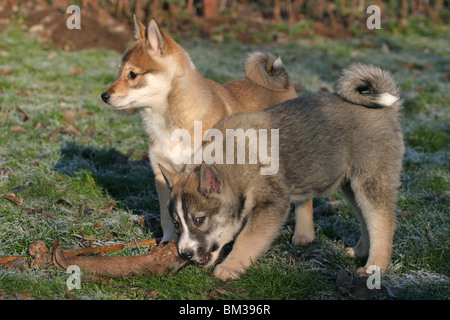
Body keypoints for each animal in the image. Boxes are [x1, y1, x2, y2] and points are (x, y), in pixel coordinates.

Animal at [161, 63, 404, 280]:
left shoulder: (272, 205)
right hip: (352, 186)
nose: (184, 253)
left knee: (382, 222)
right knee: (366, 219)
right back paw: (360, 251)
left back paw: (374, 267)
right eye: (176, 224)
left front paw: (229, 269)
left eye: (199, 220)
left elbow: (247, 239)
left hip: (371, 181)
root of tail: (387, 109)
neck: (233, 164)